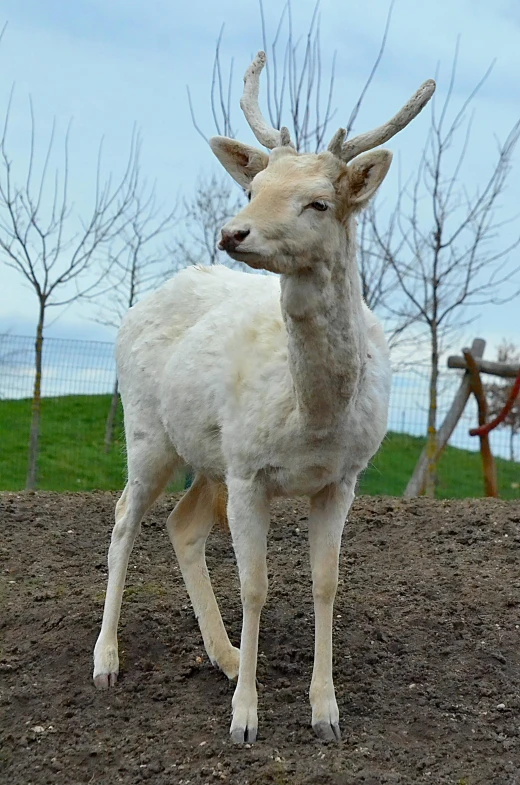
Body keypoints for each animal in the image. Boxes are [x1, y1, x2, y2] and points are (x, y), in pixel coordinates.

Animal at [94, 53, 434, 740]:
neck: (315, 417)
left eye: (319, 202)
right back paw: (107, 660)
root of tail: (146, 298)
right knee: (123, 518)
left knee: (181, 524)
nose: (233, 232)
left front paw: (326, 712)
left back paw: (223, 654)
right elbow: (255, 584)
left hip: (210, 457)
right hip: (148, 429)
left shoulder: (342, 477)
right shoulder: (251, 472)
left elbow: (326, 582)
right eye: (255, 188)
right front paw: (245, 718)